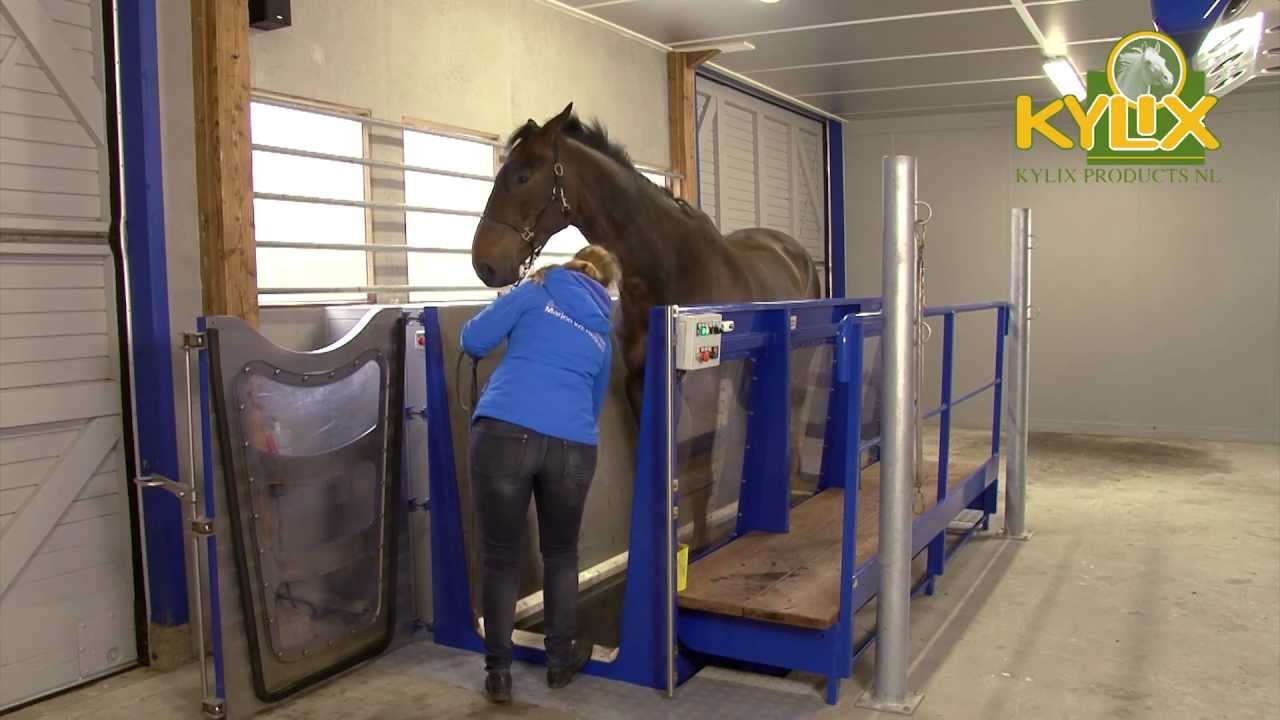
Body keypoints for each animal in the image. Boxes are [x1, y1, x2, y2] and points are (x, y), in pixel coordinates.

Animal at [470, 102, 821, 550]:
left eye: (523, 176)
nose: (484, 263)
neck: (668, 266)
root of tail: (794, 253)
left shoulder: (704, 387)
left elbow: (698, 472)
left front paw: (700, 551)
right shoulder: (640, 382)